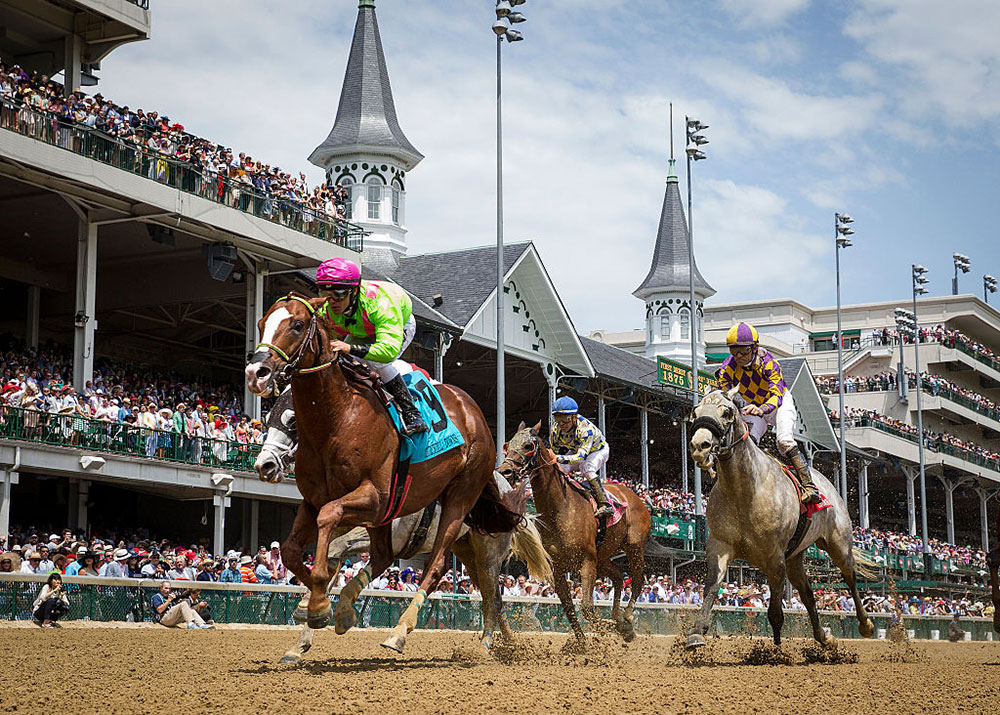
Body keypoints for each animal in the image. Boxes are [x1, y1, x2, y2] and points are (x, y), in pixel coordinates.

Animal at [245, 292, 520, 656]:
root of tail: (477, 415)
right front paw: (314, 613)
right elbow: (294, 551)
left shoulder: (374, 499)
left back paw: (403, 632)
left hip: (464, 512)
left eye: (298, 324)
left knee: (447, 573)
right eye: (261, 323)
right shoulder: (318, 502)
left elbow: (330, 533)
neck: (339, 419)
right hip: (457, 544)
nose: (256, 373)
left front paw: (316, 606)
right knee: (459, 582)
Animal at [496, 422, 652, 652]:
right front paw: (583, 644)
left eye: (528, 446)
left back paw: (627, 620)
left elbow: (586, 608)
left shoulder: (587, 562)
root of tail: (636, 497)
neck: (560, 509)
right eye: (507, 445)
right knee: (618, 576)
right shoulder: (558, 568)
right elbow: (570, 608)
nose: (505, 471)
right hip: (603, 556)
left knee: (638, 581)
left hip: (634, 548)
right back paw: (618, 617)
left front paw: (613, 629)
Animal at [688, 388, 876, 652]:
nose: (699, 446)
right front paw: (696, 632)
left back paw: (865, 624)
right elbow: (712, 587)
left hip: (839, 544)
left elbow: (776, 612)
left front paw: (776, 651)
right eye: (695, 413)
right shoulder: (720, 545)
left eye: (727, 413)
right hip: (795, 558)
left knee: (850, 578)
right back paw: (823, 636)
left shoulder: (774, 557)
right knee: (808, 594)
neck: (744, 491)